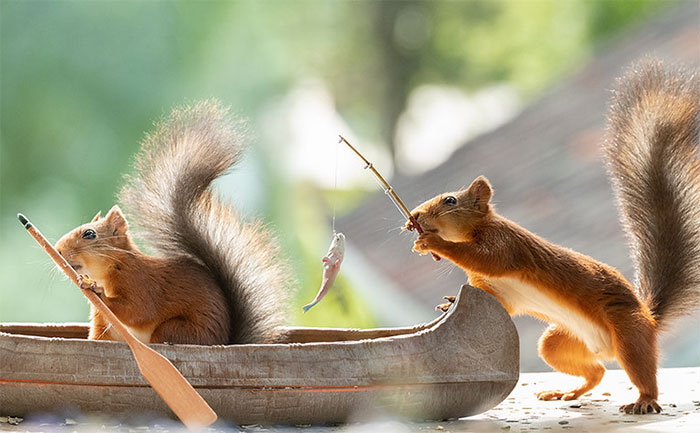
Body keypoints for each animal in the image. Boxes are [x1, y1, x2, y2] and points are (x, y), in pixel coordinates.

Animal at [55, 101, 290, 345]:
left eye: (89, 234)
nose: (58, 250)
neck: (112, 266)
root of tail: (224, 341)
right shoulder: (103, 322)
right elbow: (100, 335)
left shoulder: (140, 283)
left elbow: (137, 310)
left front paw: (96, 290)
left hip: (173, 330)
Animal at [408, 59, 700, 414]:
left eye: (449, 201)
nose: (414, 217)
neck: (477, 229)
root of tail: (649, 317)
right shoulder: (498, 290)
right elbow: (497, 296)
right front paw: (450, 300)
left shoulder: (505, 245)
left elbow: (482, 259)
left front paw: (434, 243)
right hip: (559, 343)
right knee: (597, 371)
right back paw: (567, 392)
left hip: (628, 332)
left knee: (641, 370)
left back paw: (644, 400)